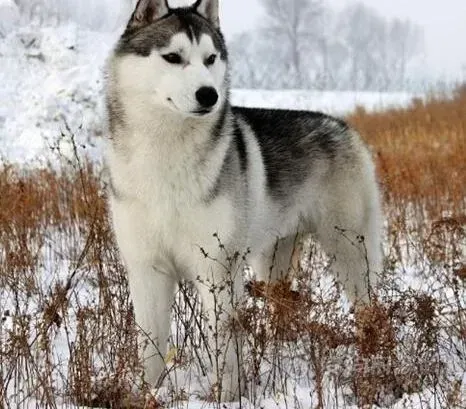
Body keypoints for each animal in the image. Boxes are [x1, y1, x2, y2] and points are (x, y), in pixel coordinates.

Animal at [105, 0, 382, 400]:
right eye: (173, 57)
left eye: (210, 58)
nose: (209, 94)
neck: (165, 156)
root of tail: (342, 126)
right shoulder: (147, 268)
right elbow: (150, 350)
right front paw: (147, 395)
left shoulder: (217, 269)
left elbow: (225, 347)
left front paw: (227, 396)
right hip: (273, 259)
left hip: (348, 252)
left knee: (368, 307)